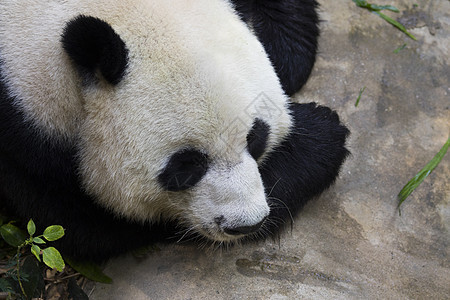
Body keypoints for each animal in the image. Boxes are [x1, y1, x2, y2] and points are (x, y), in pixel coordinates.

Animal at [0, 0, 350, 262]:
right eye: (186, 165)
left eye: (255, 138)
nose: (245, 224)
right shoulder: (26, 133)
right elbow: (87, 226)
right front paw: (322, 136)